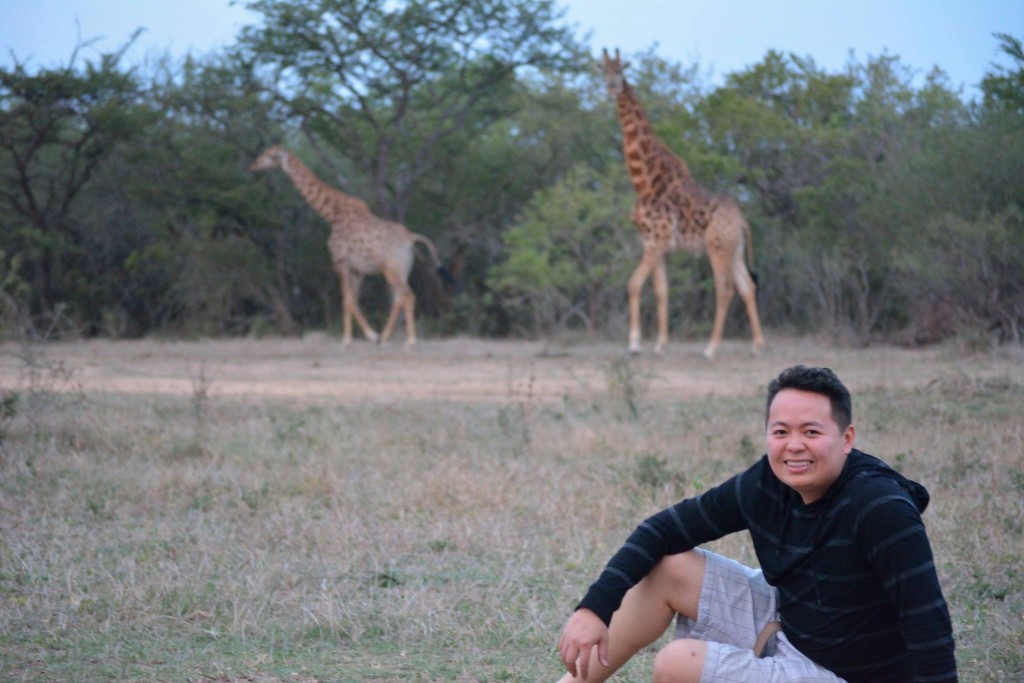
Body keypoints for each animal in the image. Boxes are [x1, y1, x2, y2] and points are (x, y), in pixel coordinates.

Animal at [251, 144, 444, 348]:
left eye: (271, 156)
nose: (253, 165)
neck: (331, 215)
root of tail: (411, 238)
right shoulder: (357, 270)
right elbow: (355, 300)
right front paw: (371, 335)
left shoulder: (340, 262)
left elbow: (347, 300)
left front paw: (349, 340)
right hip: (402, 270)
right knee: (400, 298)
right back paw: (386, 337)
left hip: (392, 269)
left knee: (407, 296)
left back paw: (410, 340)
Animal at [598, 48, 761, 360]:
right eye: (604, 71)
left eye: (621, 70)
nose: (612, 87)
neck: (644, 180)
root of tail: (743, 220)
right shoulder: (653, 243)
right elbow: (661, 290)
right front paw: (660, 344)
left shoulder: (655, 241)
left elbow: (633, 285)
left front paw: (635, 344)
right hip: (734, 250)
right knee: (748, 287)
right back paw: (758, 345)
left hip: (717, 248)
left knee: (725, 289)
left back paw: (710, 349)